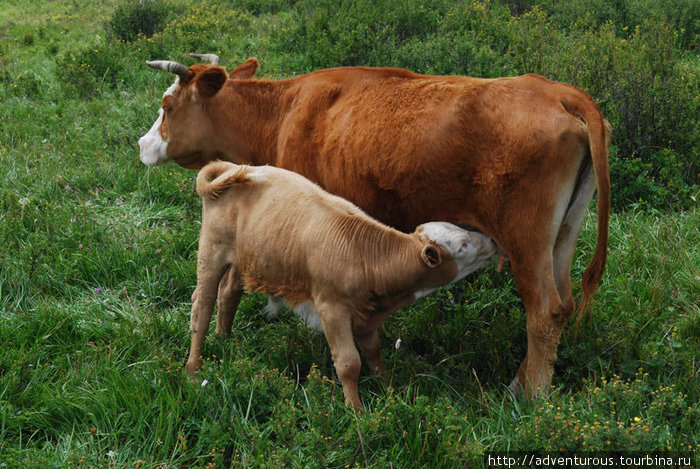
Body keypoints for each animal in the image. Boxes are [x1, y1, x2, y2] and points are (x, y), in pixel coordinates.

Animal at [183, 162, 494, 410]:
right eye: (462, 245)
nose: (491, 240)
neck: (366, 255)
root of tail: (233, 167)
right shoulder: (331, 309)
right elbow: (349, 363)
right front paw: (355, 410)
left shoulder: (366, 315)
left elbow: (374, 353)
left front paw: (388, 387)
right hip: (211, 251)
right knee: (202, 308)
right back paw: (193, 370)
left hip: (246, 257)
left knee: (228, 294)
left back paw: (224, 340)